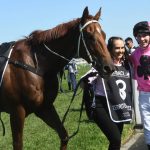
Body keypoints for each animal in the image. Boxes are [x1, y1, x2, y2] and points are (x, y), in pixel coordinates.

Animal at [0, 6, 113, 149]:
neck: (35, 64)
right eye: (89, 36)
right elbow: (18, 144)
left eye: (104, 35)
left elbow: (64, 135)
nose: (109, 67)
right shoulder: (17, 112)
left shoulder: (44, 108)